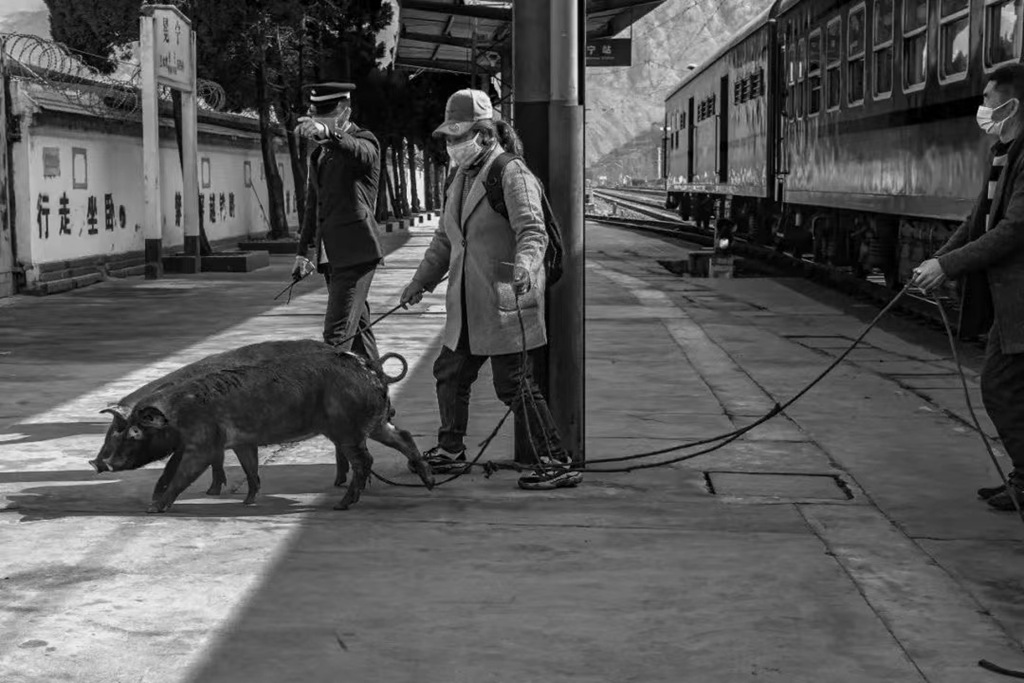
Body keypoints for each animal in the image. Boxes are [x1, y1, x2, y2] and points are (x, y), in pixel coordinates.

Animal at [90, 341, 434, 512]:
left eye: (133, 431)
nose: (96, 463)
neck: (178, 413)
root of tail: (371, 368)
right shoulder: (239, 441)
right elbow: (249, 468)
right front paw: (248, 500)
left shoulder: (203, 443)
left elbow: (182, 474)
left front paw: (155, 508)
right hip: (373, 423)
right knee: (402, 436)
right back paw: (428, 482)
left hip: (346, 428)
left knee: (366, 460)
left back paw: (341, 504)